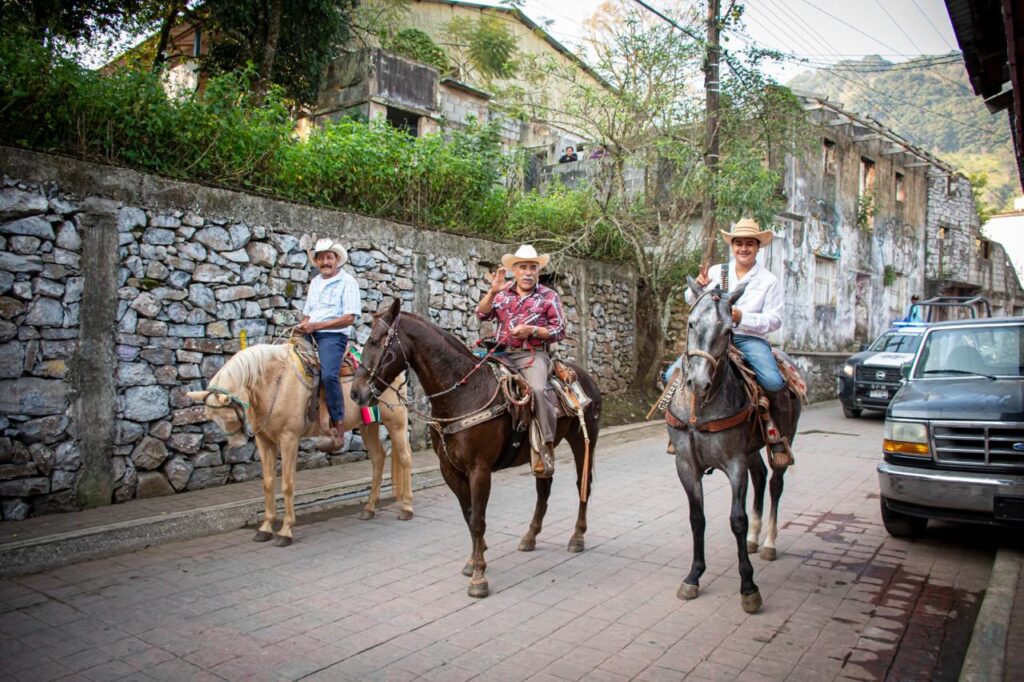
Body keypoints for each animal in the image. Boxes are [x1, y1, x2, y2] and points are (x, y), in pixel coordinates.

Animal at [186, 341, 414, 547]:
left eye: (229, 415)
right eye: (213, 418)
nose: (237, 444)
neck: (274, 382)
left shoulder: (289, 438)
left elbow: (287, 484)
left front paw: (285, 531)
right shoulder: (264, 440)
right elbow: (268, 483)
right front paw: (265, 528)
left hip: (395, 421)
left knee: (405, 458)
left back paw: (407, 508)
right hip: (368, 425)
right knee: (378, 458)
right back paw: (369, 508)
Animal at [350, 298, 602, 598]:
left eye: (376, 341)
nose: (356, 392)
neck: (461, 394)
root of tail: (585, 378)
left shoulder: (479, 470)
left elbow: (478, 519)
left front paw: (479, 578)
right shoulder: (450, 470)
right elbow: (469, 516)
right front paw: (473, 561)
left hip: (584, 441)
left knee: (582, 485)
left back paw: (577, 536)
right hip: (539, 452)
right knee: (544, 487)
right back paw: (530, 536)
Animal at [666, 278, 802, 613]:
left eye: (729, 330)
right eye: (690, 323)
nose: (698, 382)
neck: (701, 406)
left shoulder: (734, 463)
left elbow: (737, 520)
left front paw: (749, 587)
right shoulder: (686, 464)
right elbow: (697, 518)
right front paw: (693, 576)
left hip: (781, 441)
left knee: (775, 483)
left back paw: (768, 543)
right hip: (751, 450)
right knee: (761, 476)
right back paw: (753, 540)